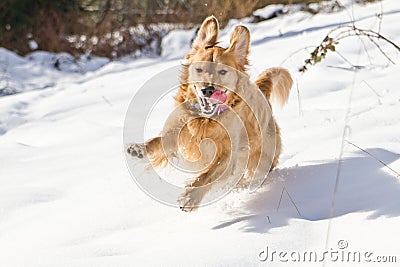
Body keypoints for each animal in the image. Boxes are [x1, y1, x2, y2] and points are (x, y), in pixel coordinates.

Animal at [126, 15, 292, 213]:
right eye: (199, 69)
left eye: (222, 71)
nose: (207, 90)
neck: (206, 120)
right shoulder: (182, 131)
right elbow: (159, 140)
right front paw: (140, 148)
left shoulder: (228, 153)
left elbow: (208, 174)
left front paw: (190, 197)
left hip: (262, 160)